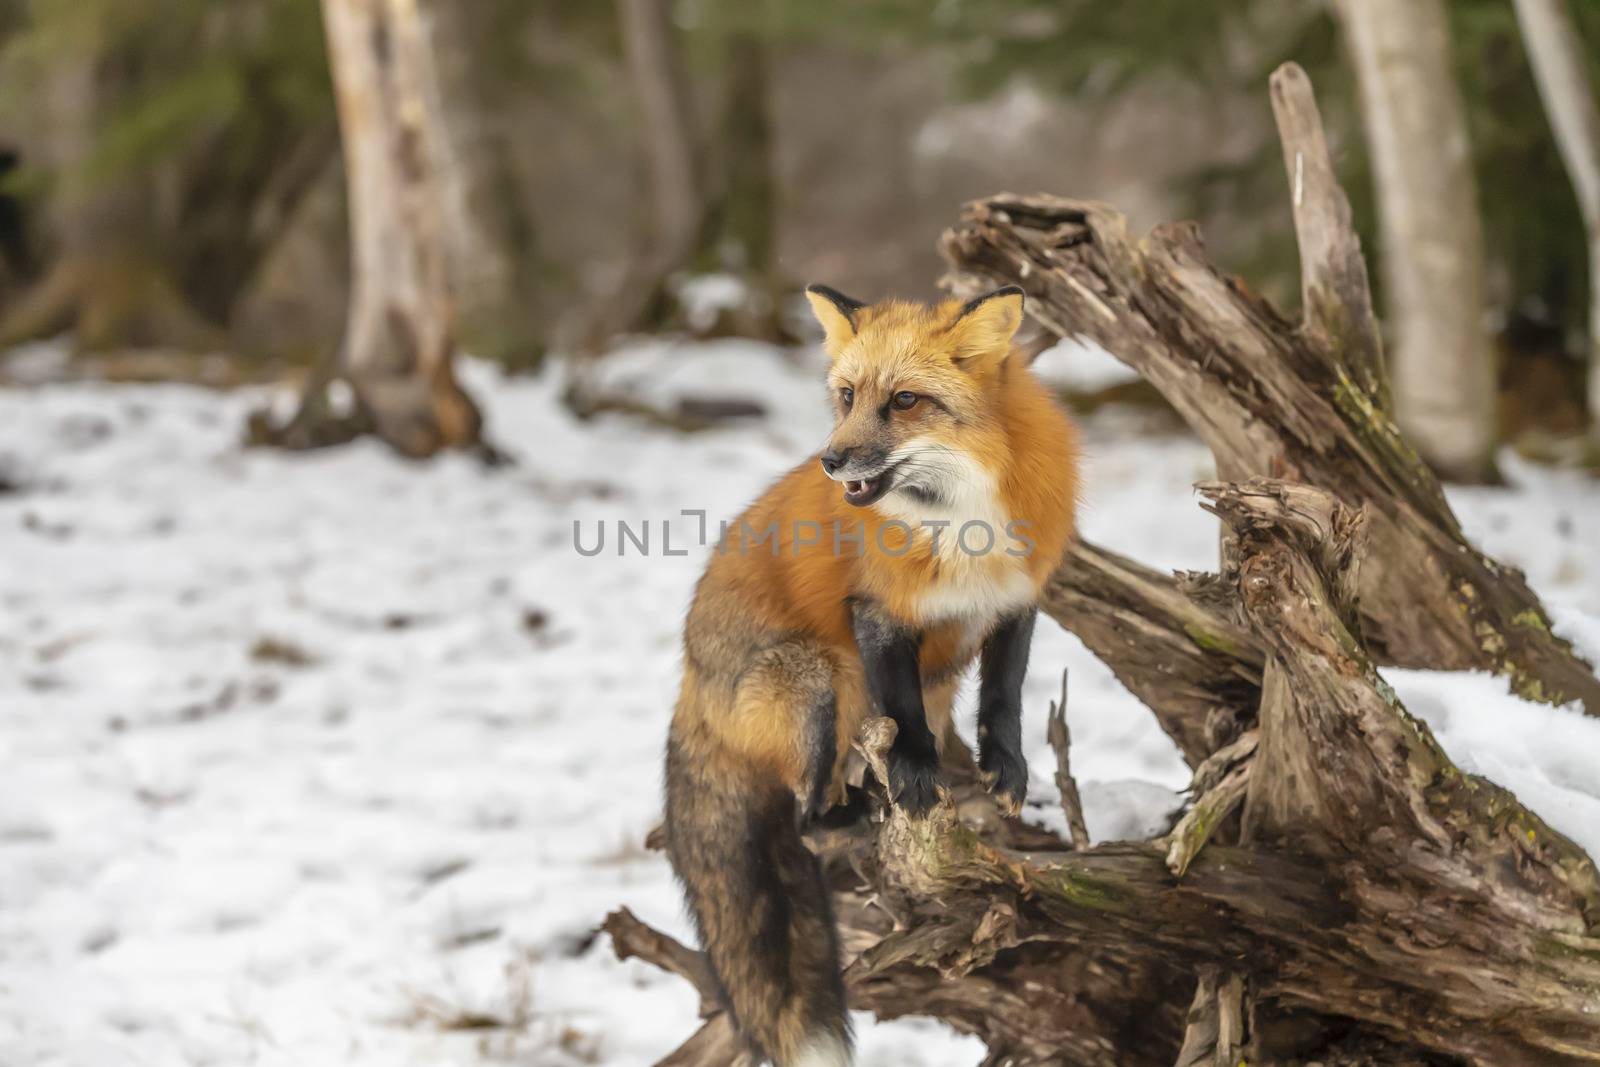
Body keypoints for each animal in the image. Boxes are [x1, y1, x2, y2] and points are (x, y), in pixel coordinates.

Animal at [662, 286, 1075, 1067]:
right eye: (848, 396)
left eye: (905, 400)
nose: (831, 460)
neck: (960, 520)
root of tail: (690, 681)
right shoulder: (878, 613)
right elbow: (904, 714)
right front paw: (913, 777)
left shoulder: (1016, 601)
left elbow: (1004, 697)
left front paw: (1005, 770)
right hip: (819, 678)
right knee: (807, 822)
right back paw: (857, 813)